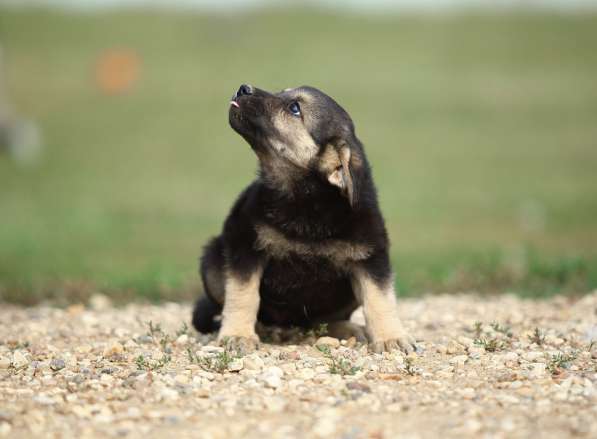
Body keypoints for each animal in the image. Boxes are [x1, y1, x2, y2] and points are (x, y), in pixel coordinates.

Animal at [191, 85, 414, 354]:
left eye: (294, 108)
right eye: (281, 92)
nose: (243, 88)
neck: (307, 201)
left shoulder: (371, 258)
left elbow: (380, 299)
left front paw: (391, 337)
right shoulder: (244, 247)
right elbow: (243, 295)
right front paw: (237, 334)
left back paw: (344, 329)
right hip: (212, 263)